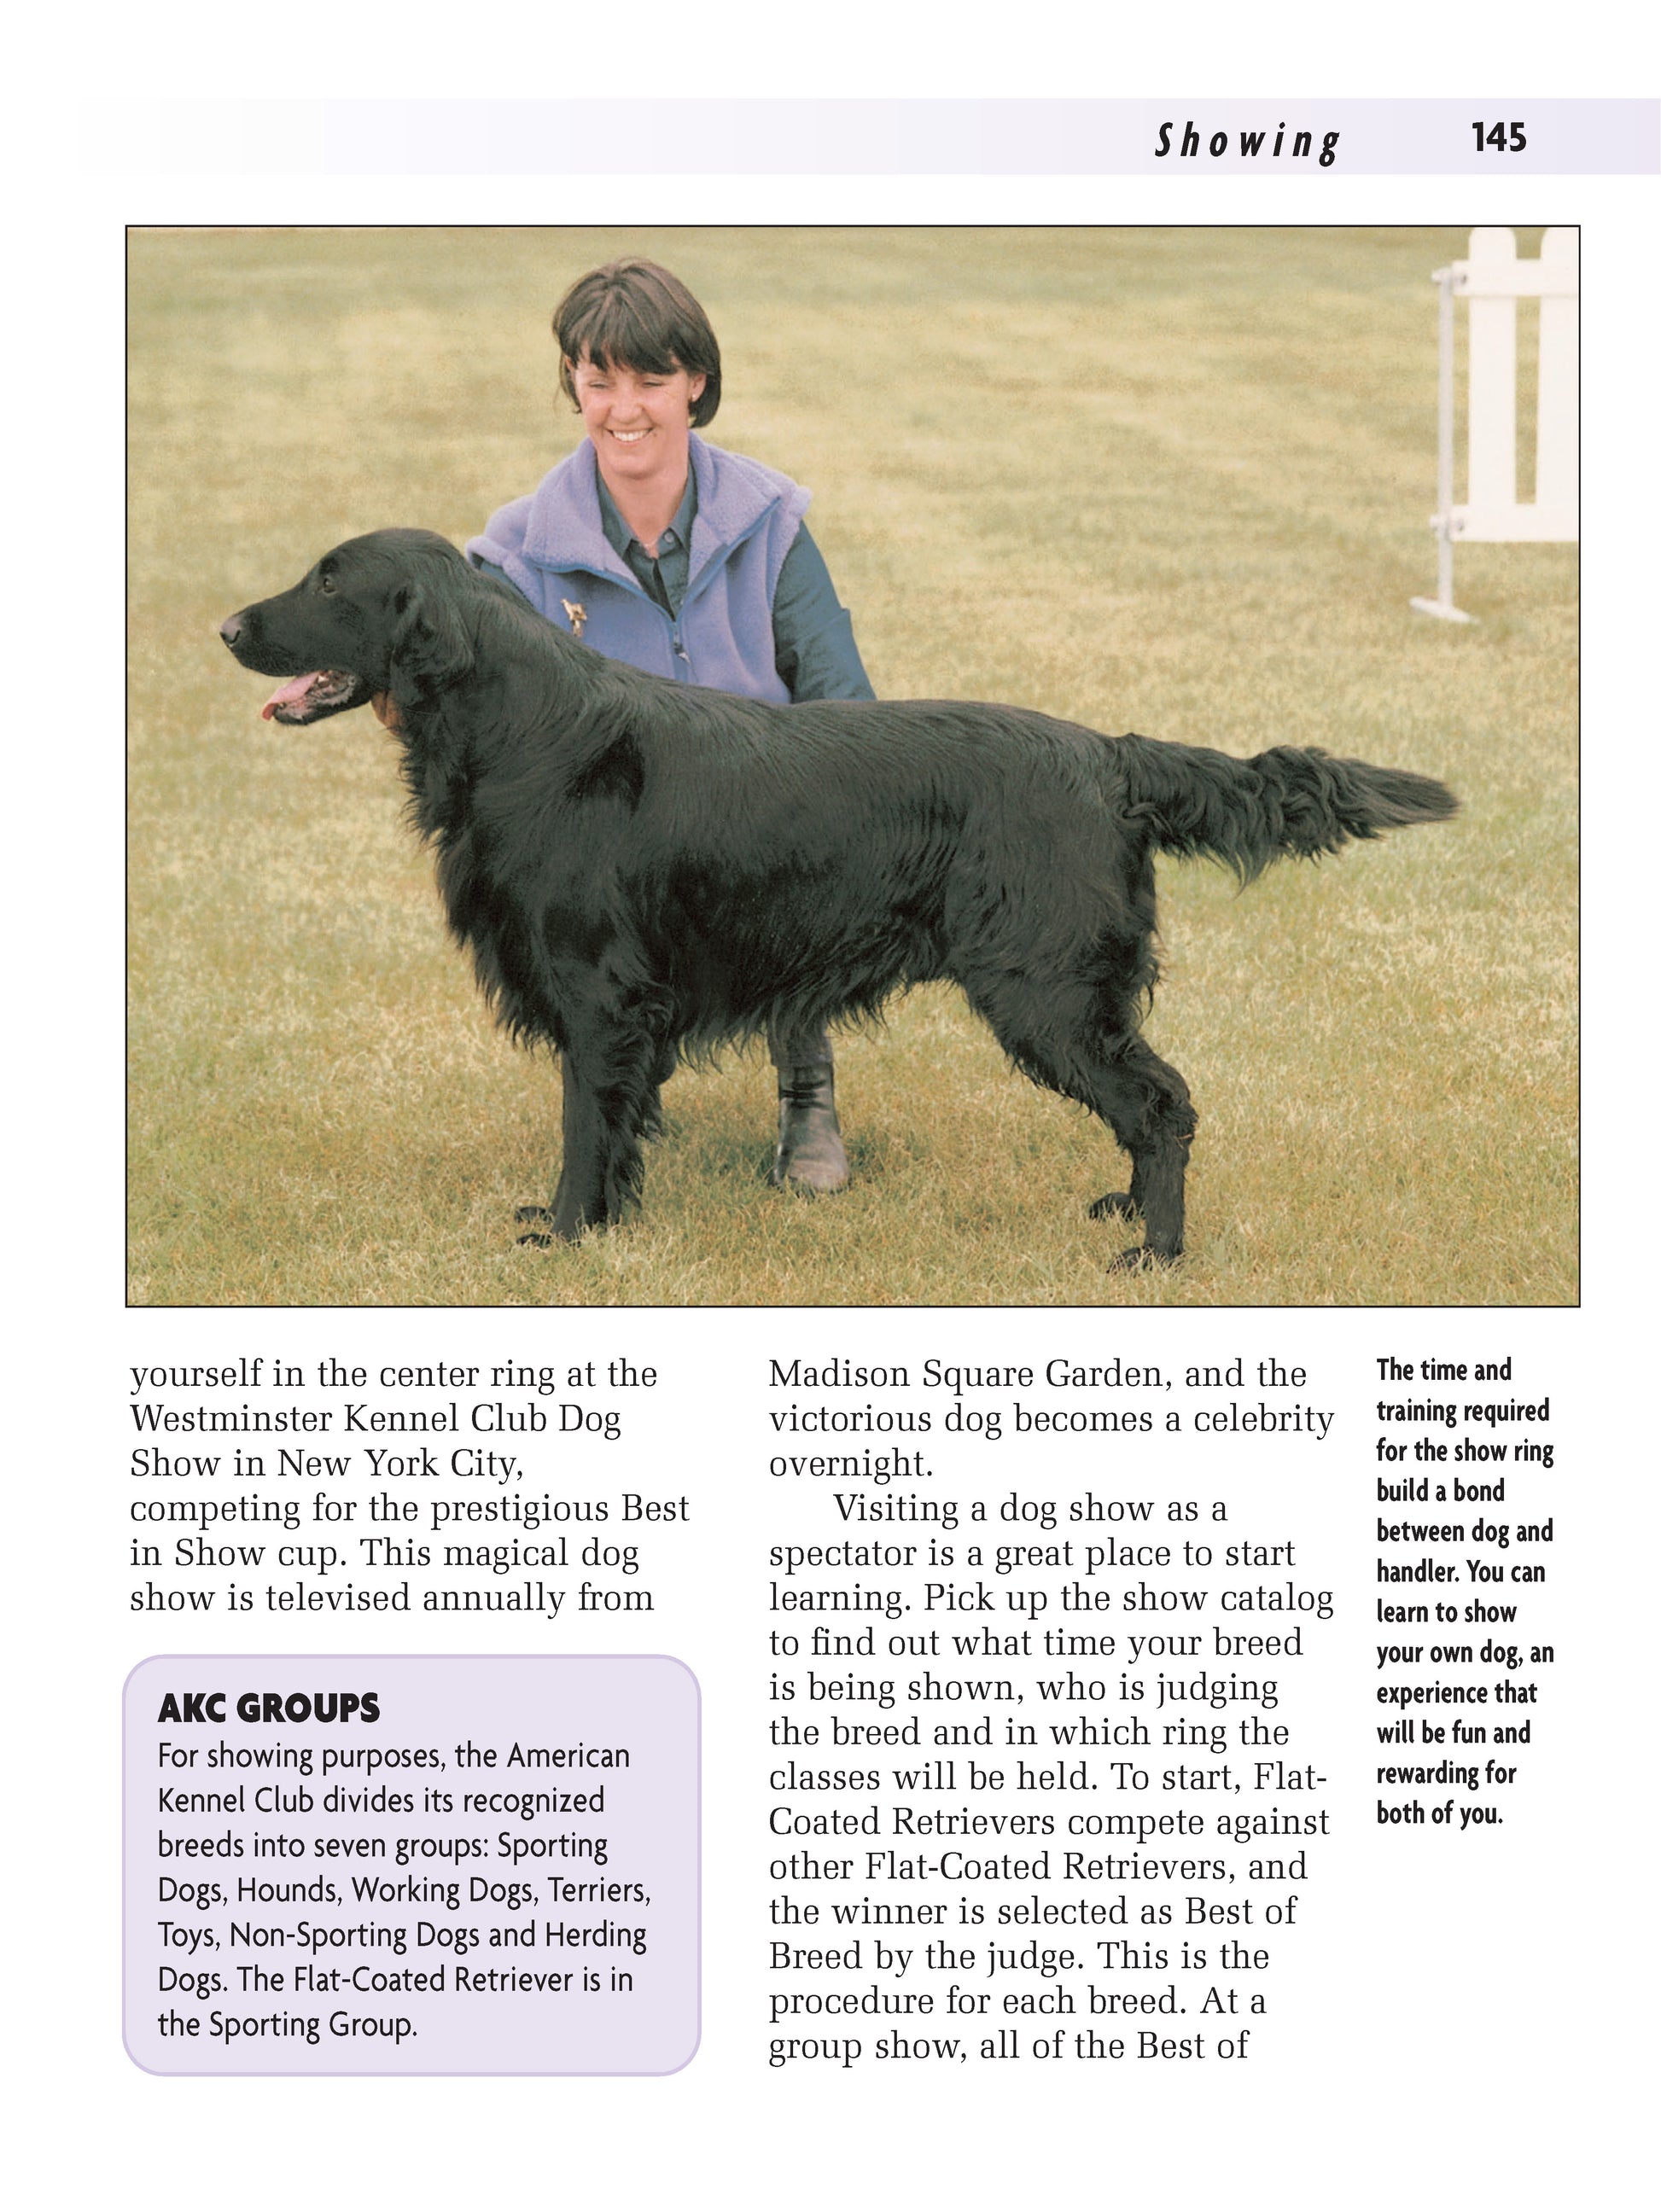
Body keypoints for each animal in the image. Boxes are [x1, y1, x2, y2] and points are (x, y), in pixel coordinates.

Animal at [220, 529, 1456, 1265]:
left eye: (330, 579)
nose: (227, 626)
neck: (520, 728)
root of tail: (1106, 753)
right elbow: (617, 1129)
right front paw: (609, 1224)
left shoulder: (597, 991)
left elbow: (581, 1126)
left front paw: (566, 1236)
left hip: (1043, 990)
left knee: (1161, 1103)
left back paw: (1152, 1250)